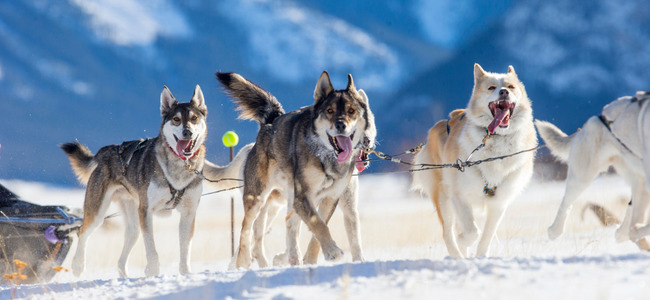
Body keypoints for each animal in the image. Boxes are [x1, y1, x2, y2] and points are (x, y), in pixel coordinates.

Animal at [61, 84, 206, 276]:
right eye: (176, 119)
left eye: (194, 118)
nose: (187, 132)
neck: (179, 167)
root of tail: (105, 151)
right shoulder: (146, 211)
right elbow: (151, 249)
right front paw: (153, 272)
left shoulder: (188, 213)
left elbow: (185, 250)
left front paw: (185, 273)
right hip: (98, 212)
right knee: (82, 233)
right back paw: (78, 265)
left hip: (133, 222)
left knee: (122, 256)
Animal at [215, 71, 372, 268]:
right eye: (329, 111)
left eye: (351, 111)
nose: (341, 125)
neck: (326, 156)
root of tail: (272, 121)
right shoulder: (302, 196)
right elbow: (318, 223)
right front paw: (332, 250)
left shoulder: (330, 198)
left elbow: (318, 229)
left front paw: (314, 258)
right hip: (257, 197)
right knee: (246, 228)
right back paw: (243, 261)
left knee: (289, 223)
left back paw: (293, 259)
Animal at [412, 63, 536, 258]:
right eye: (491, 88)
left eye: (510, 86)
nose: (503, 92)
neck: (495, 141)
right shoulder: (459, 196)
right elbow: (471, 232)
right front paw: (464, 240)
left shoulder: (499, 203)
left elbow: (486, 236)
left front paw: (480, 256)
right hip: (443, 198)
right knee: (448, 233)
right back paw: (458, 255)